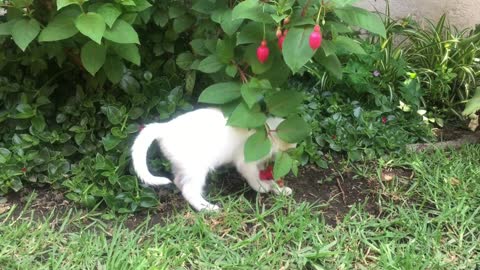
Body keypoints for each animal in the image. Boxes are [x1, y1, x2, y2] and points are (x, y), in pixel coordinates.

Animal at [131, 107, 296, 211]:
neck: (266, 132)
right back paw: (207, 208)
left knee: (179, 182)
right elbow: (255, 179)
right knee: (189, 190)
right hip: (196, 167)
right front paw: (263, 187)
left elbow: (268, 178)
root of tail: (165, 127)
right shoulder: (245, 162)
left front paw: (279, 189)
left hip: (183, 166)